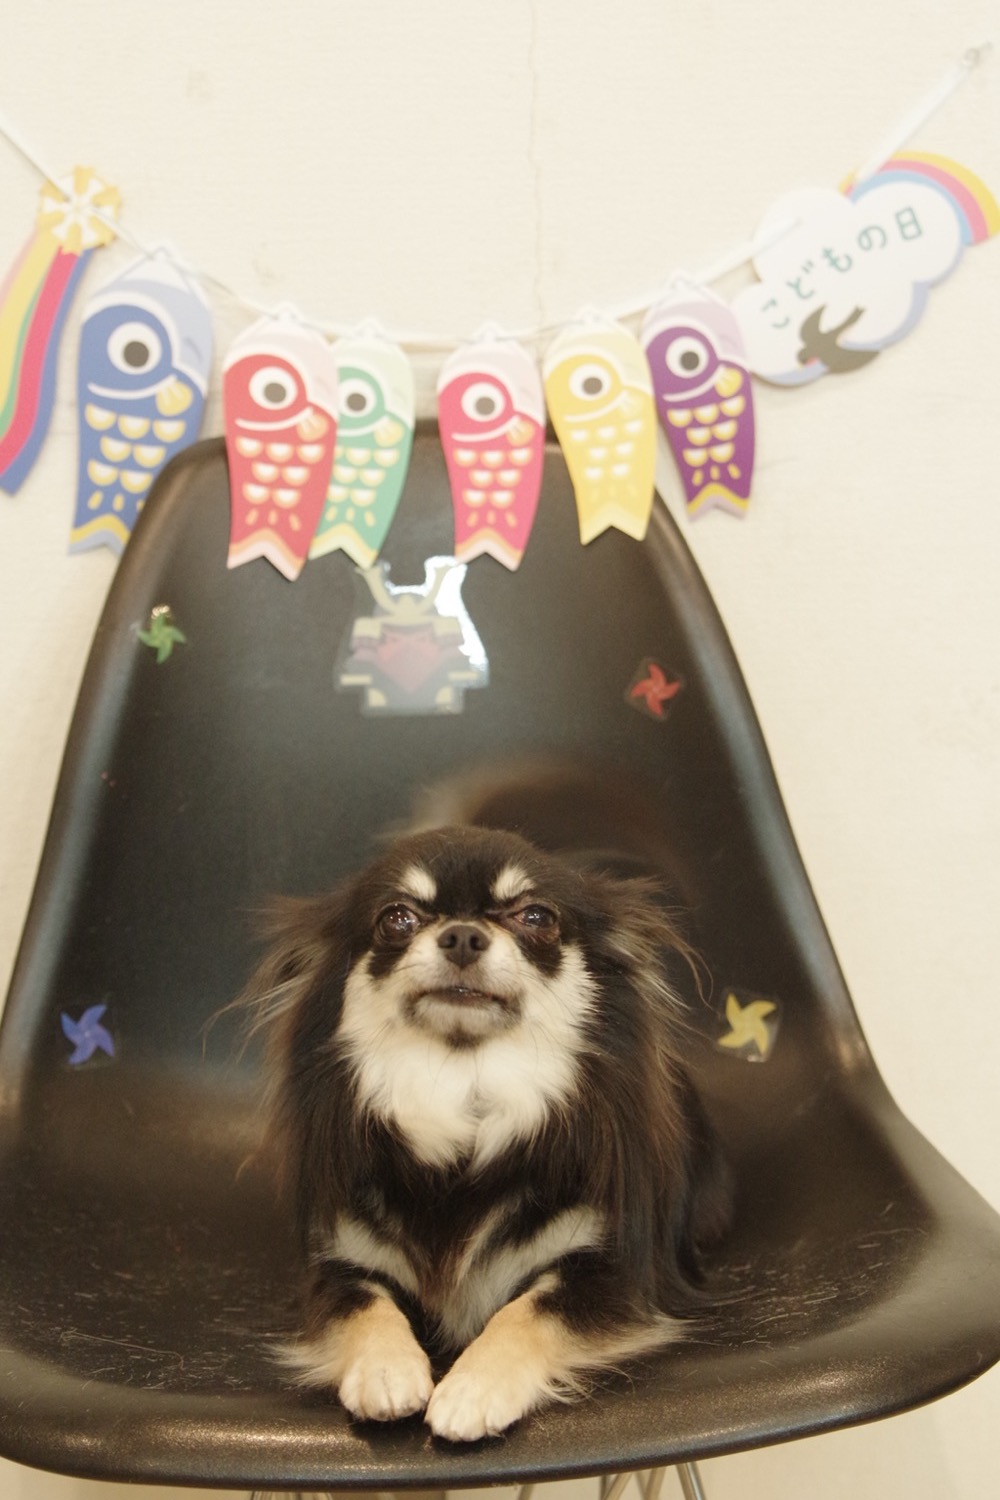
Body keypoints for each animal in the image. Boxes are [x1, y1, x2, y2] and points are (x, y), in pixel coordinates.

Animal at [240, 818, 729, 1442]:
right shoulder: (345, 1263)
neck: (466, 1090)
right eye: (396, 918)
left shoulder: (606, 1269)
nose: (463, 936)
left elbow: (528, 1311)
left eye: (536, 917)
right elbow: (364, 1306)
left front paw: (473, 1388)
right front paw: (385, 1371)